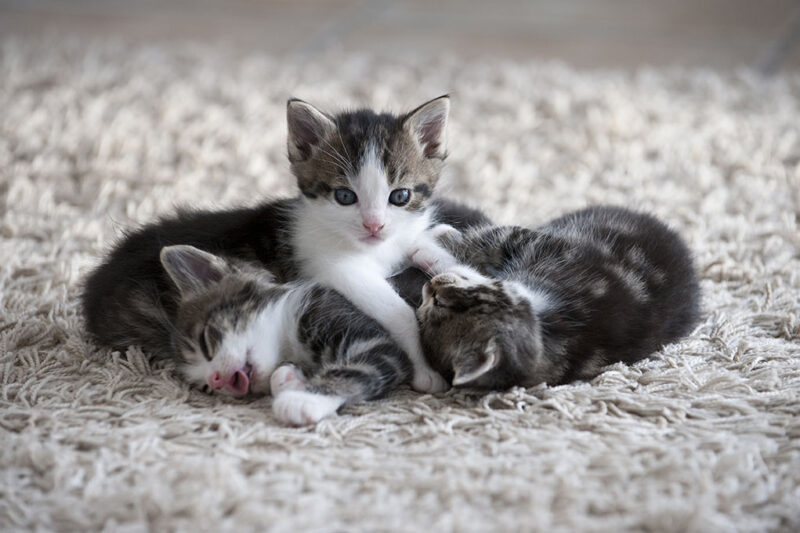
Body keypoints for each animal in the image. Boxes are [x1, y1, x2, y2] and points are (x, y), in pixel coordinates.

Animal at [159, 244, 410, 424]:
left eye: (204, 342)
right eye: (205, 387)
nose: (215, 379)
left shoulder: (372, 339)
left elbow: (356, 370)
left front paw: (304, 399)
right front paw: (290, 379)